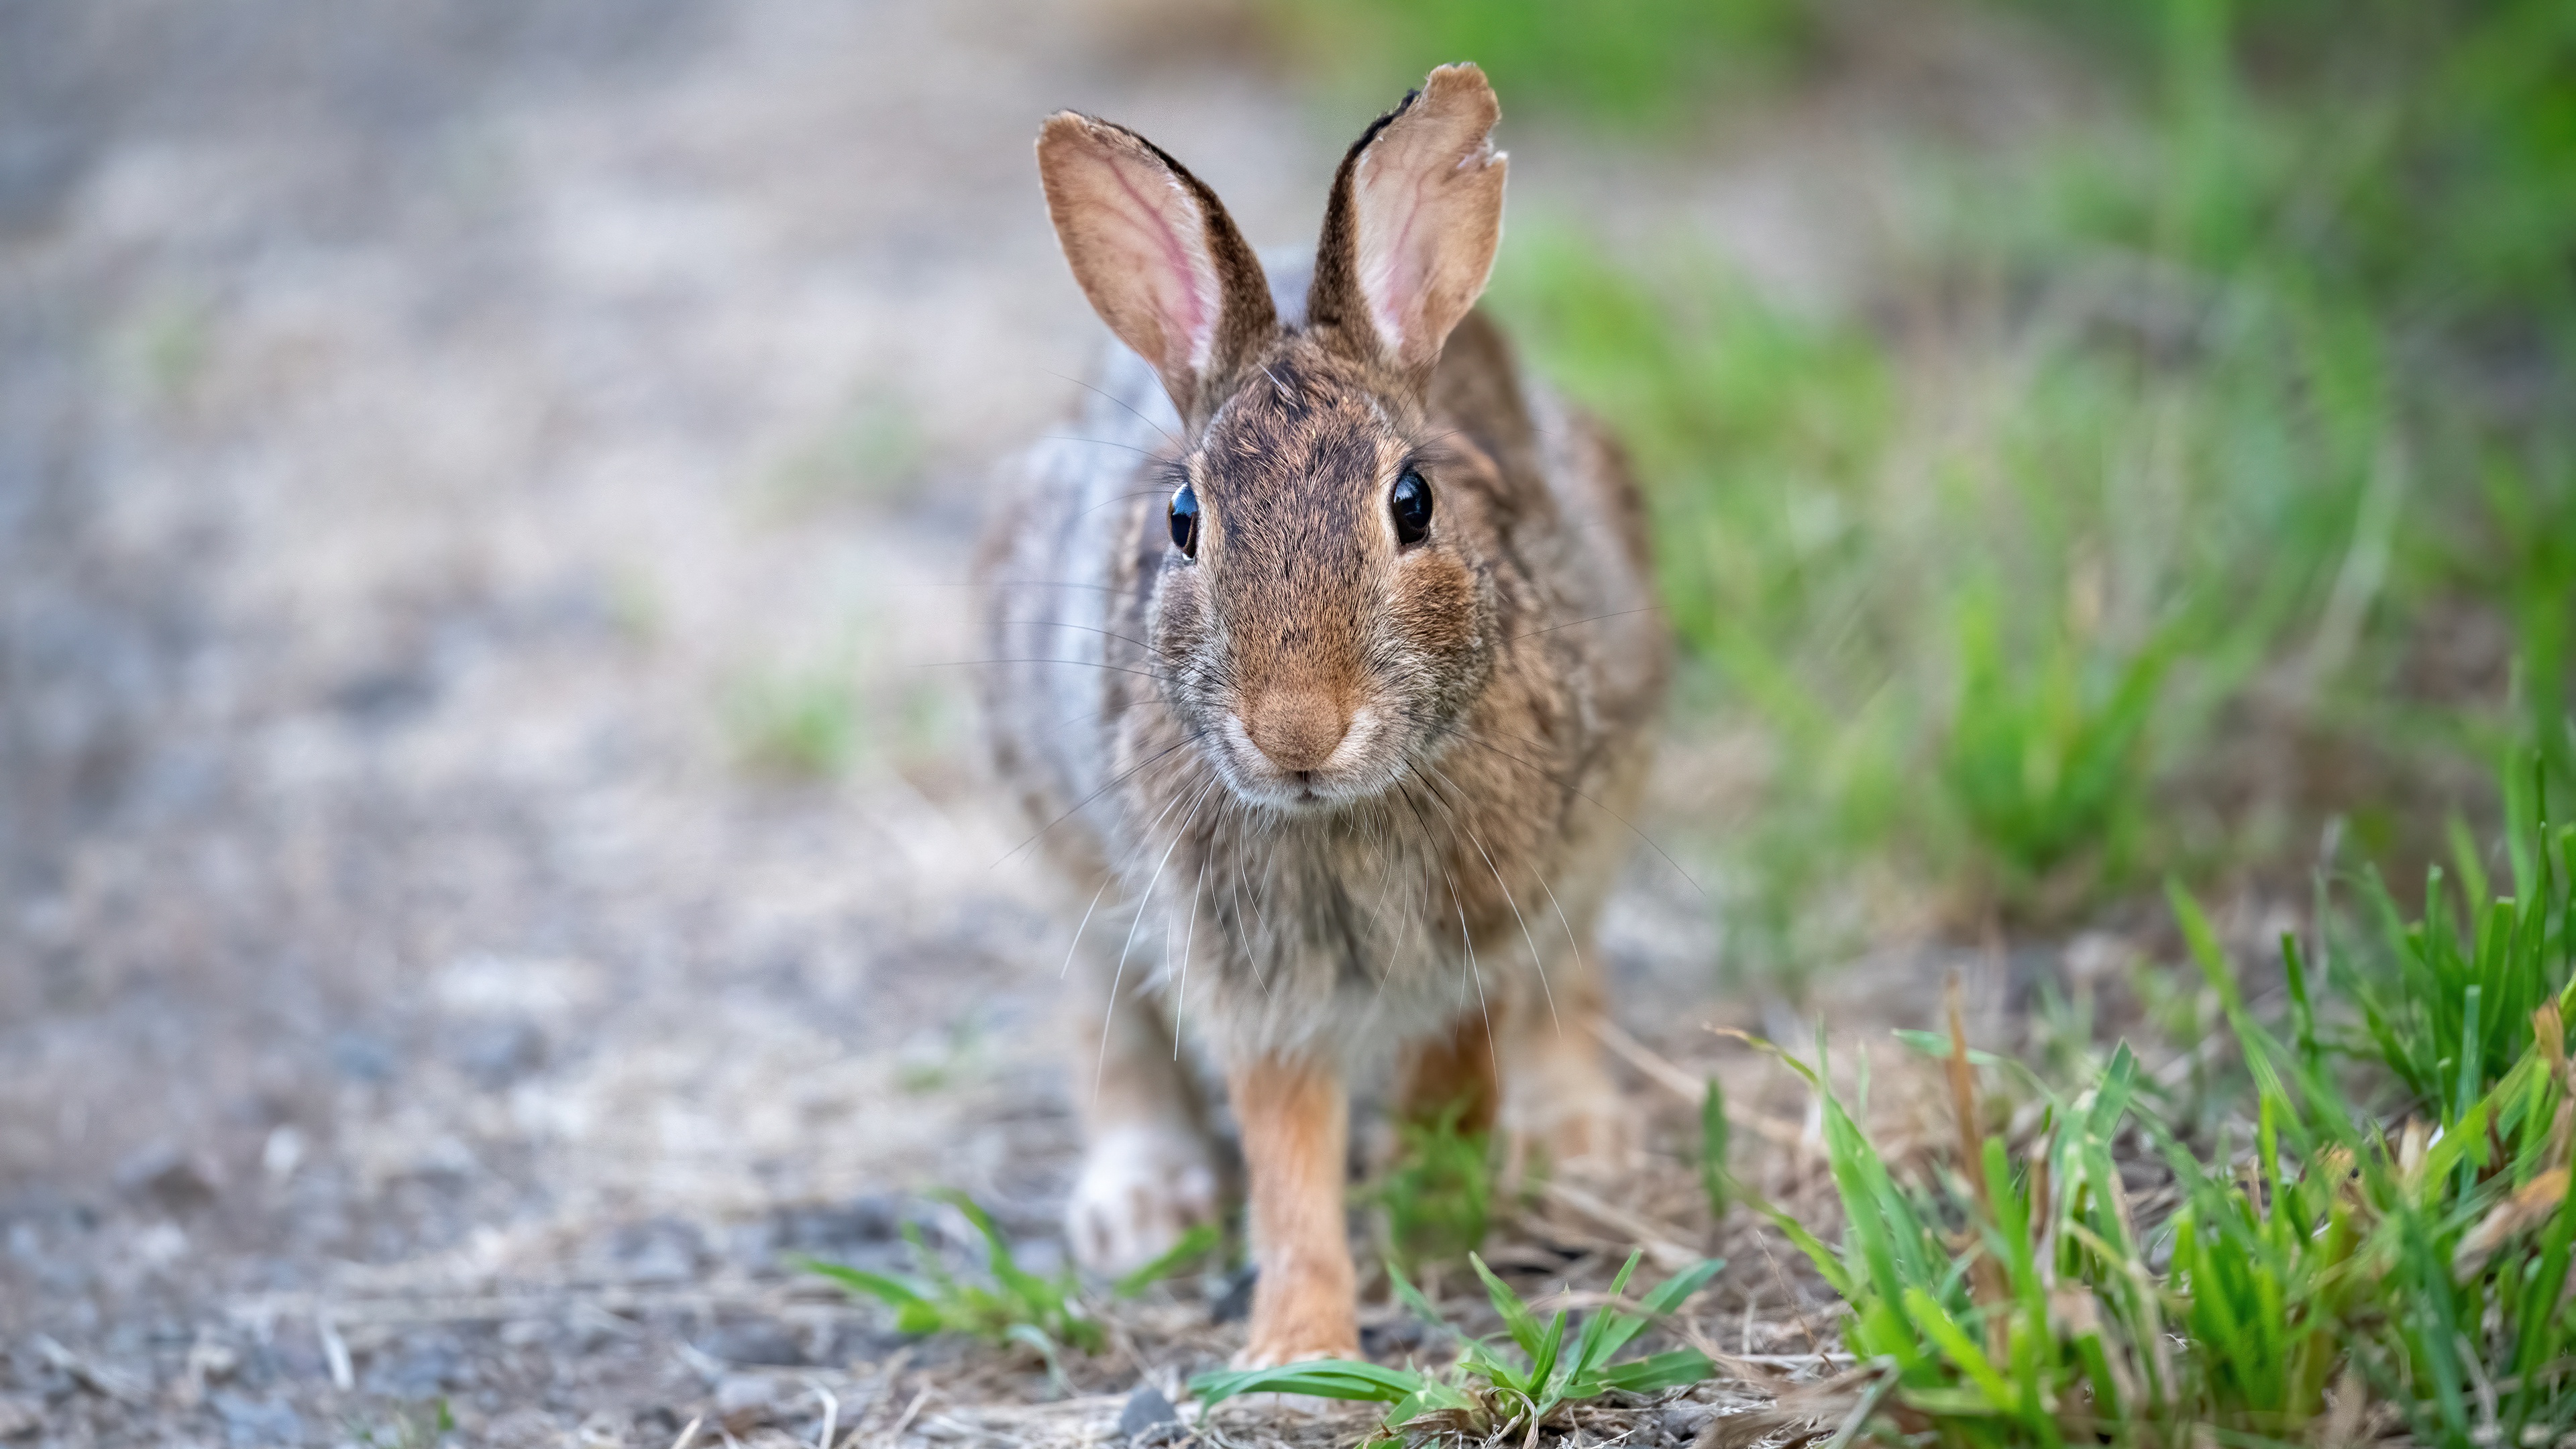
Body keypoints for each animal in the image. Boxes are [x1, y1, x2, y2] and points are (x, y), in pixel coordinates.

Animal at [979, 59, 1669, 1361]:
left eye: (1415, 502)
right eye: (1183, 521)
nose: (1296, 730)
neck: (1343, 811)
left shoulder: (1499, 914)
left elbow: (1462, 1055)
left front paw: (1424, 1192)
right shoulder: (1251, 971)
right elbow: (1286, 1144)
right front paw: (1297, 1352)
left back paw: (1571, 1142)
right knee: (1109, 1026)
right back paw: (1142, 1206)